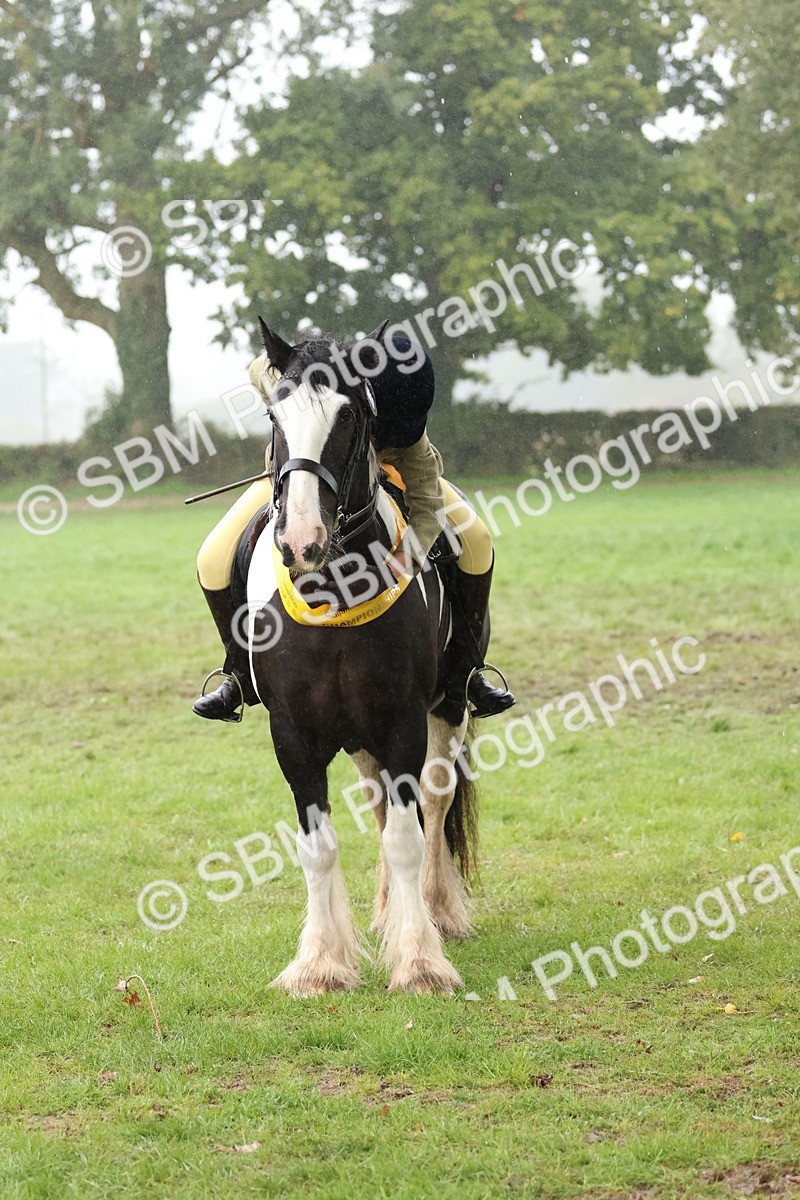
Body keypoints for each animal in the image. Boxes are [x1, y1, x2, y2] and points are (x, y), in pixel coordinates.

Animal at [244, 321, 477, 996]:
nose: (301, 543)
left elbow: (407, 835)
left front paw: (419, 961)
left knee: (434, 802)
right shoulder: (293, 735)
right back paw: (385, 914)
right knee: (378, 803)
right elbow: (317, 845)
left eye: (349, 417)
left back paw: (435, 910)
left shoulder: (402, 723)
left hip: (448, 708)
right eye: (275, 415)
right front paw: (321, 963)